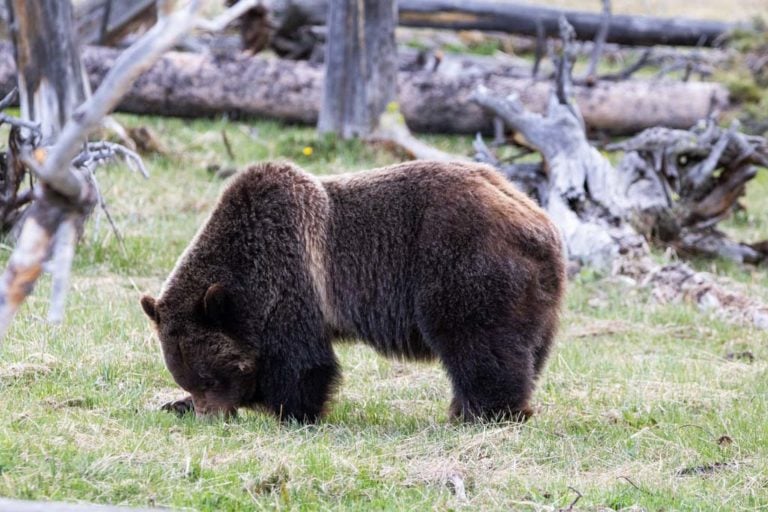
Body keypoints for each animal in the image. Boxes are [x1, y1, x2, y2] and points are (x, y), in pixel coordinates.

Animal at [141, 161, 568, 424]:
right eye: (189, 379)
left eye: (210, 377)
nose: (211, 415)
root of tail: (540, 222)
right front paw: (174, 404)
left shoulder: (292, 278)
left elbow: (301, 363)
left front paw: (292, 412)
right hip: (537, 300)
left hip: (465, 268)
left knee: (477, 345)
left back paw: (484, 413)